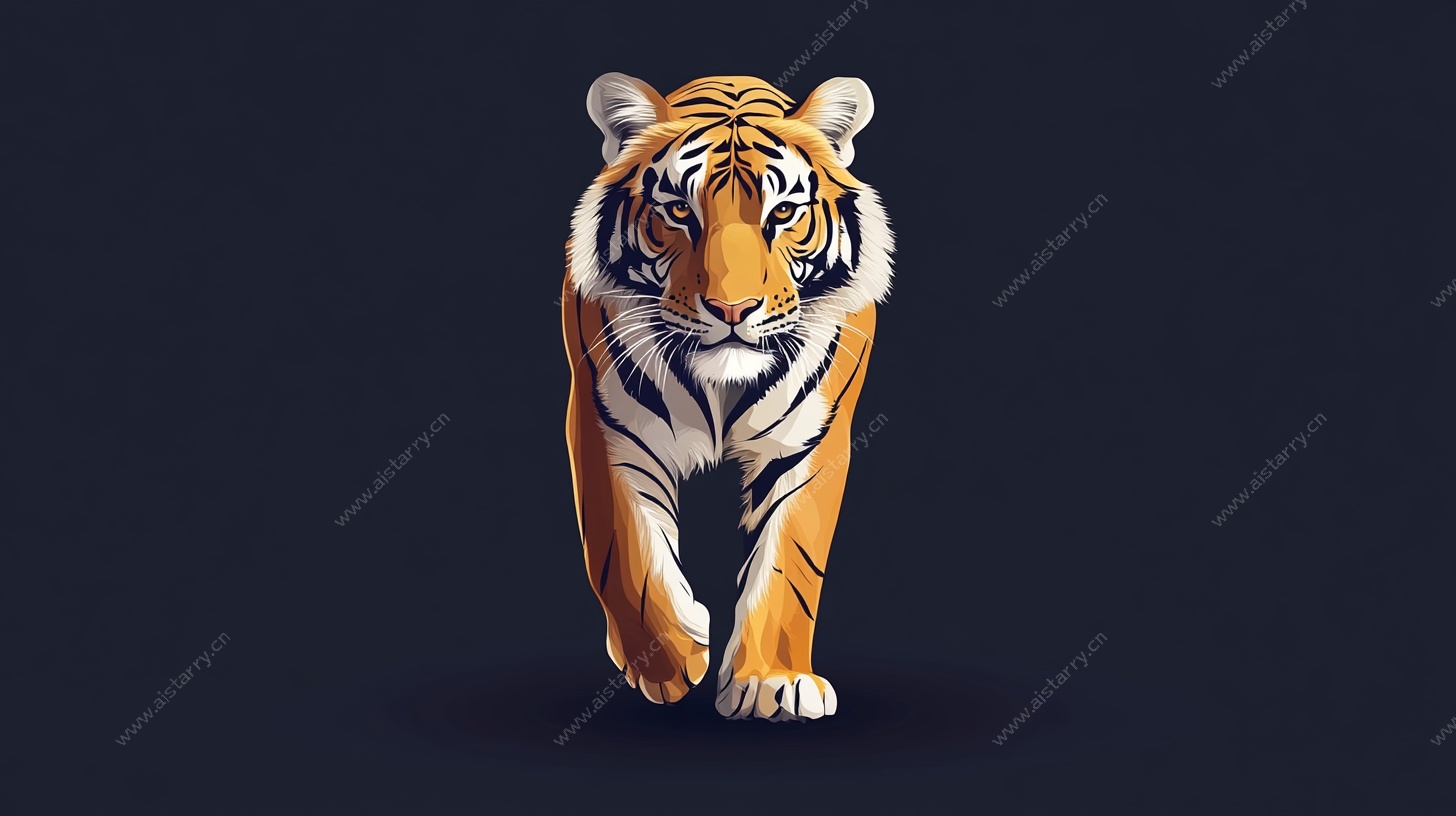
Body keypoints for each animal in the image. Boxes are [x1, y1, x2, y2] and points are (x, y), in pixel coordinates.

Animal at [562, 73, 893, 722]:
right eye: (678, 211)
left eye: (783, 212)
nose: (733, 310)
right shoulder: (608, 428)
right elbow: (626, 550)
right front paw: (666, 662)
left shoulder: (809, 444)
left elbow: (789, 562)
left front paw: (774, 682)